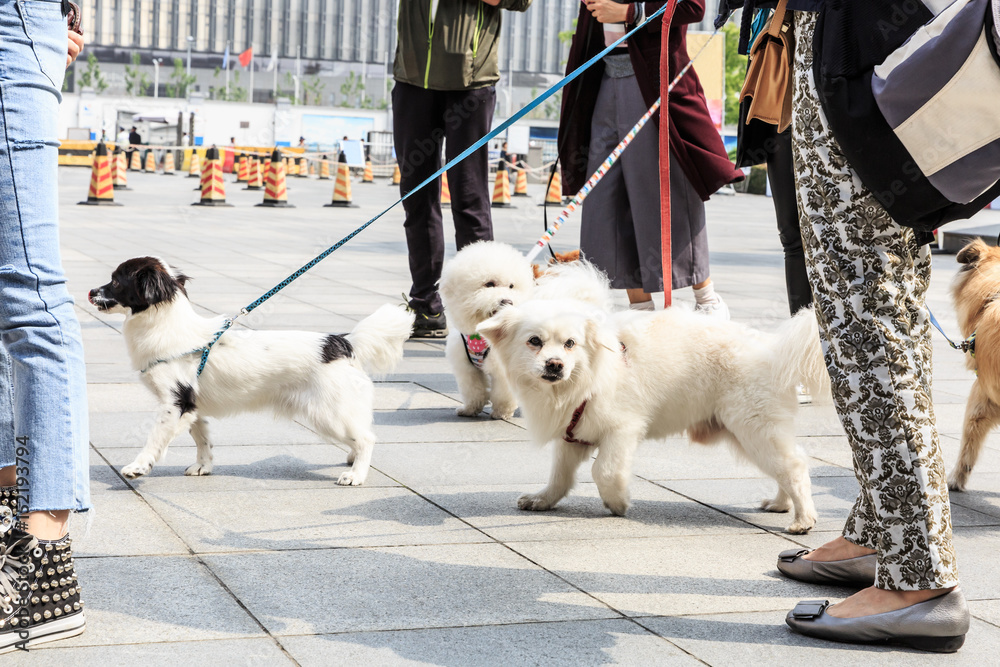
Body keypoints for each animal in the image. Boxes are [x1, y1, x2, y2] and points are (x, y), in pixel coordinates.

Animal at [88, 258, 412, 486]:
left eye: (115, 281)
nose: (90, 291)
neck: (170, 329)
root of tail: (343, 341)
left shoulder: (175, 402)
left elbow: (154, 439)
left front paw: (138, 467)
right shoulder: (192, 405)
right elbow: (202, 438)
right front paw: (203, 466)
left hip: (328, 414)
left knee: (367, 439)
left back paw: (357, 475)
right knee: (360, 435)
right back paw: (352, 460)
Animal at [476, 300, 828, 536]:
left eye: (570, 343)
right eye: (534, 341)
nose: (555, 364)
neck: (583, 378)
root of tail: (774, 349)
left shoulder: (622, 429)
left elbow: (604, 471)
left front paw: (618, 503)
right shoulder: (573, 434)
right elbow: (559, 476)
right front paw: (543, 500)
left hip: (754, 428)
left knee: (794, 466)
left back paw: (803, 519)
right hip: (748, 434)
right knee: (786, 466)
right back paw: (782, 504)